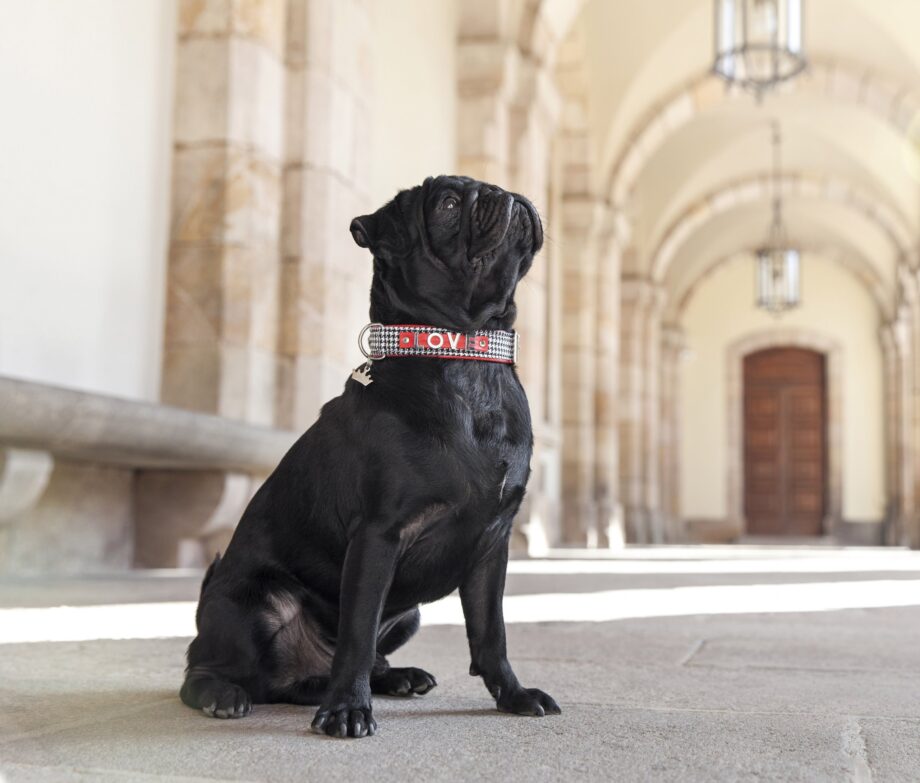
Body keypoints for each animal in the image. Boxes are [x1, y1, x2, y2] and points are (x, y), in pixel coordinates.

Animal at [176, 175, 556, 740]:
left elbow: (491, 634)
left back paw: (393, 677)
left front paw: (513, 696)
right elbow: (356, 634)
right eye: (447, 204)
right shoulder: (378, 535)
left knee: (338, 669)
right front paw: (347, 711)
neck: (465, 355)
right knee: (205, 669)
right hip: (255, 599)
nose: (502, 191)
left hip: (410, 614)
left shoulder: (492, 546)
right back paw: (226, 694)